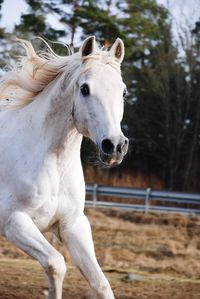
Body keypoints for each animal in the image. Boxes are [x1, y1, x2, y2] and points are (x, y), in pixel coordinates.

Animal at [0, 37, 128, 299]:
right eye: (85, 89)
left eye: (123, 91)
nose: (115, 146)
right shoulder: (14, 221)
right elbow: (56, 264)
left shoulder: (73, 225)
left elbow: (101, 284)